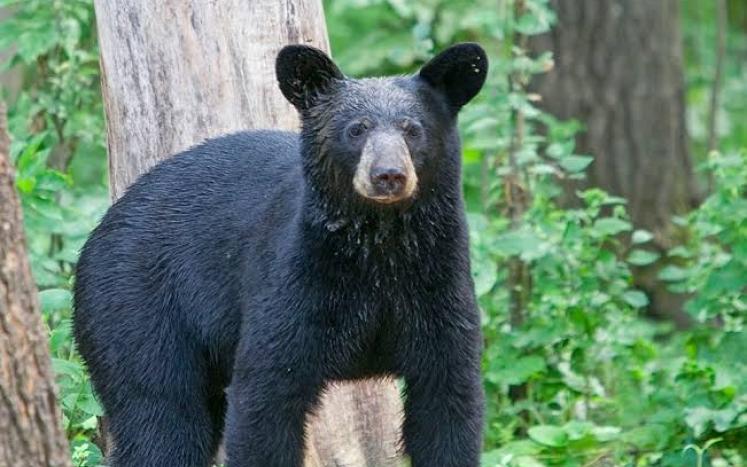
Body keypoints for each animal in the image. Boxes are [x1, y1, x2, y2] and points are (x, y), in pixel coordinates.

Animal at [73, 43, 488, 467]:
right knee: (161, 415)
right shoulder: (296, 278)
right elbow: (265, 396)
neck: (379, 248)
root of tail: (99, 231)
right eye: (355, 129)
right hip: (135, 305)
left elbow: (448, 402)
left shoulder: (438, 287)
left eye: (412, 129)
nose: (388, 175)